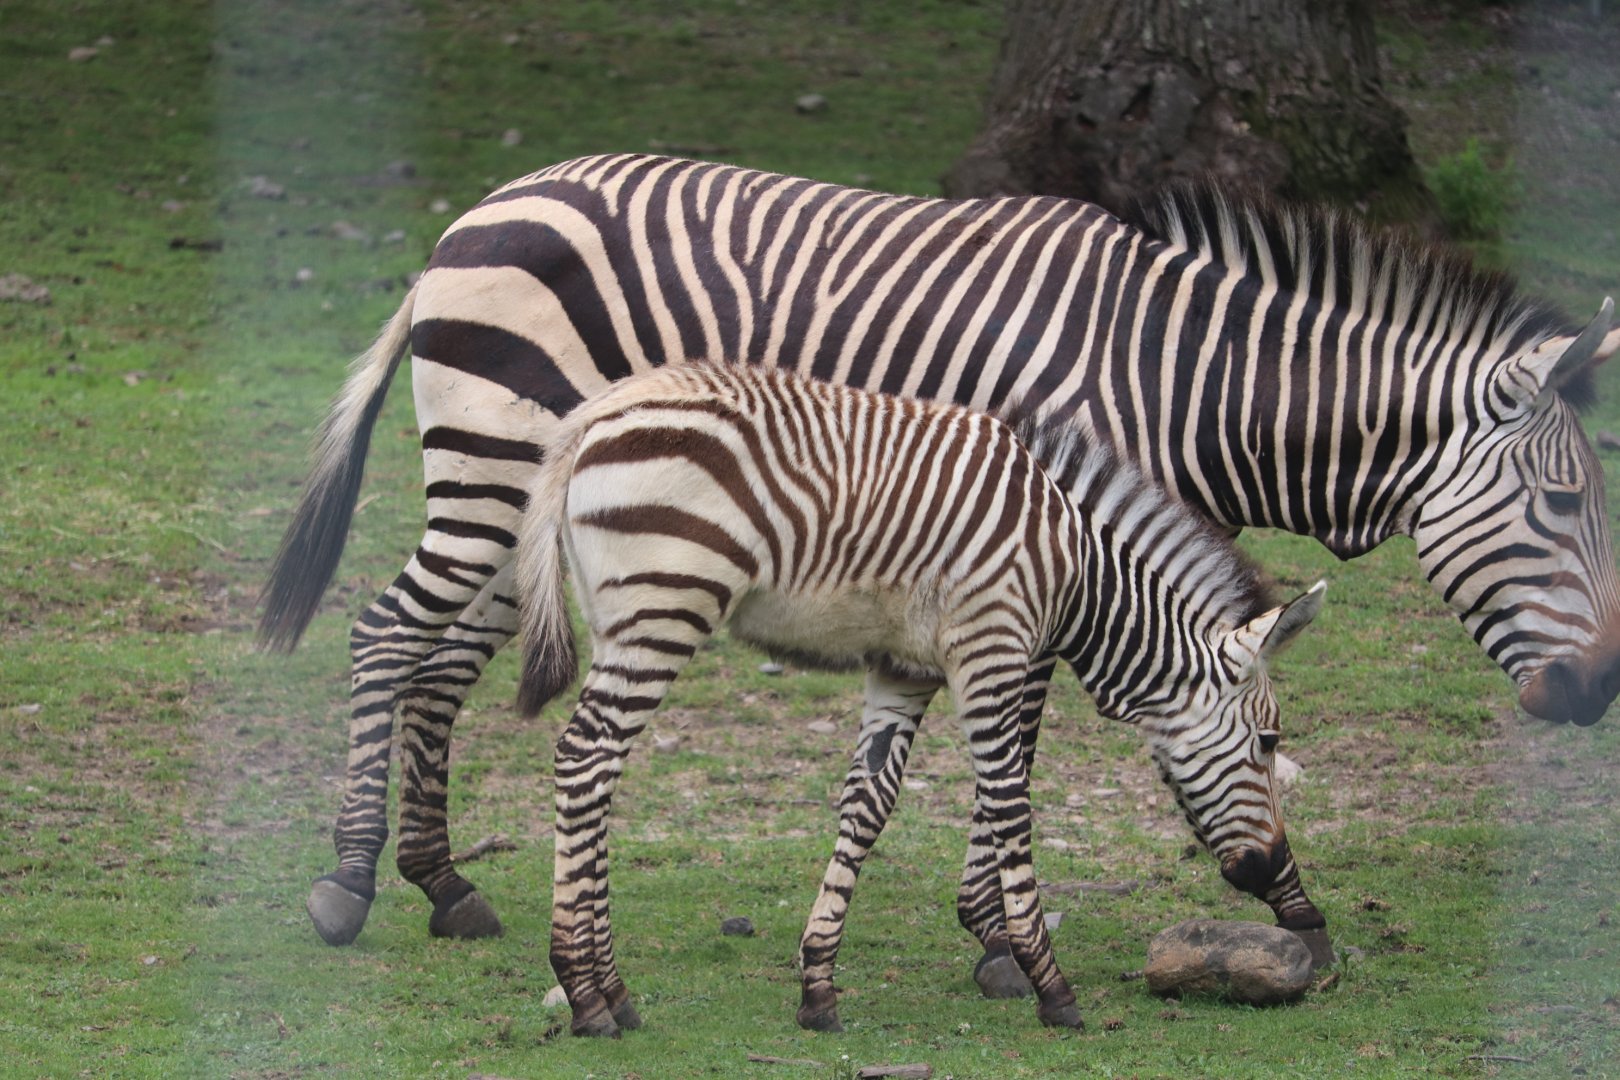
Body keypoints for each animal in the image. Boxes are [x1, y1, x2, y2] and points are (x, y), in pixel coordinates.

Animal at [513, 362, 1327, 1036]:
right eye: (1269, 742)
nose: (1301, 910)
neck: (1072, 570)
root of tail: (598, 411)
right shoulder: (992, 650)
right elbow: (1009, 801)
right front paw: (1050, 984)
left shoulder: (903, 668)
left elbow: (867, 805)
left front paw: (818, 987)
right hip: (666, 606)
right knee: (584, 759)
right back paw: (586, 995)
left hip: (626, 619)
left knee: (598, 774)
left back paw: (613, 992)